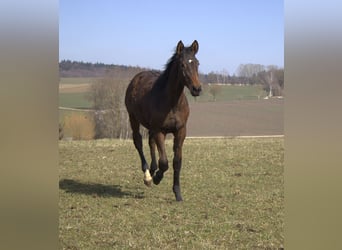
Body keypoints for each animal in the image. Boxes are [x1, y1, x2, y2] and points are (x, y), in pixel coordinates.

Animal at [125, 41, 200, 201]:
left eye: (197, 63)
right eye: (182, 65)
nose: (197, 89)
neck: (172, 103)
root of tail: (136, 78)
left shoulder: (180, 131)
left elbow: (177, 162)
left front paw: (177, 193)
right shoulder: (160, 131)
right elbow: (164, 162)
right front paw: (157, 177)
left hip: (150, 126)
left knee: (150, 142)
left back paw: (153, 170)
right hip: (133, 118)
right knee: (138, 142)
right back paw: (148, 176)